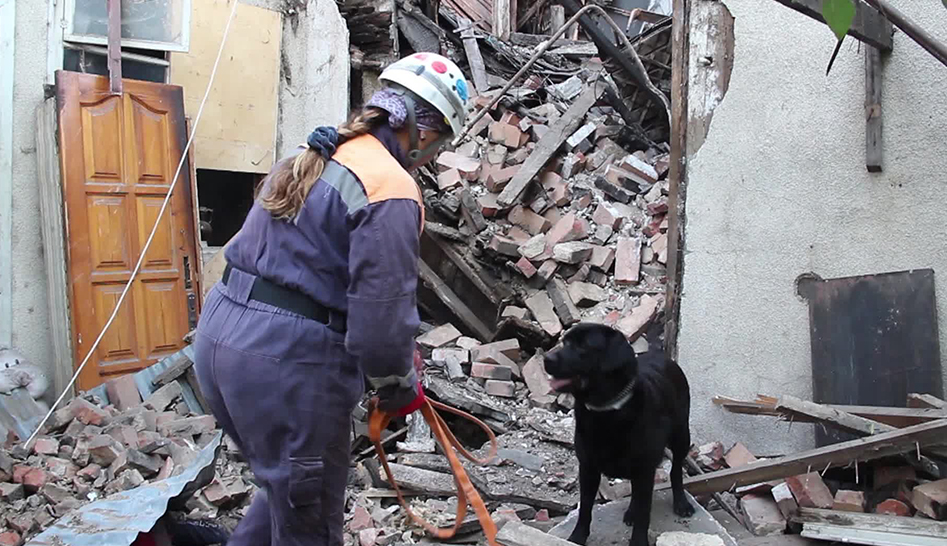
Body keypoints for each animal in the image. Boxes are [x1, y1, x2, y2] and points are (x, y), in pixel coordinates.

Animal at [544, 320, 692, 540]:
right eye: (565, 342)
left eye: (583, 347)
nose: (546, 358)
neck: (606, 411)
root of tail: (661, 355)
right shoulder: (588, 468)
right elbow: (585, 508)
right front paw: (578, 537)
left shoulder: (644, 469)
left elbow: (644, 514)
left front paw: (638, 541)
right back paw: (631, 511)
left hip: (681, 435)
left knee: (675, 470)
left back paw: (681, 502)